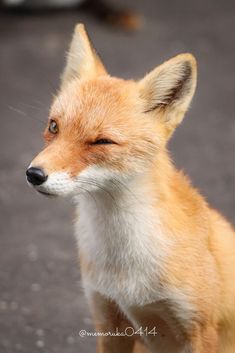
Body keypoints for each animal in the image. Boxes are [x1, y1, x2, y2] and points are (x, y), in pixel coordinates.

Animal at [25, 23, 235, 350]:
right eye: (54, 126)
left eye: (101, 142)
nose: (34, 174)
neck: (126, 267)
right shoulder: (108, 319)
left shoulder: (199, 329)